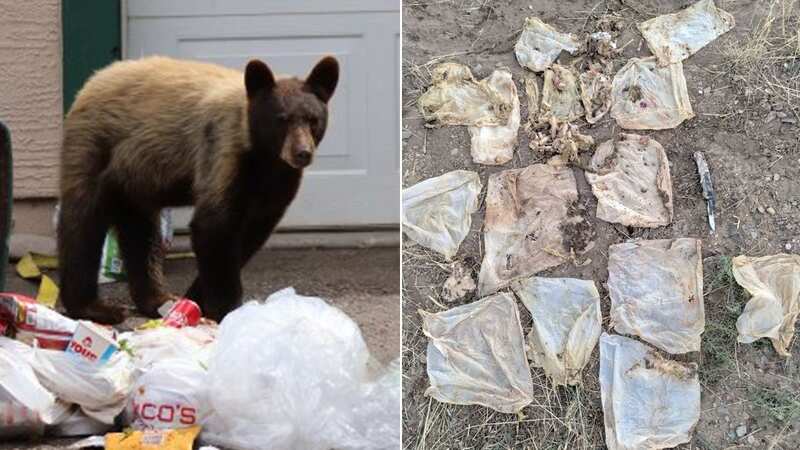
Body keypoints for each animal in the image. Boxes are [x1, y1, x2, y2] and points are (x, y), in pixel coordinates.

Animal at [58, 55, 339, 323]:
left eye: (313, 120)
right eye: (281, 119)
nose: (302, 153)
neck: (264, 157)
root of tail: (91, 82)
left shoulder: (277, 184)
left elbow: (251, 234)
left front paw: (194, 301)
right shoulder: (223, 153)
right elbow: (214, 226)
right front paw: (225, 310)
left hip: (135, 182)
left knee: (140, 233)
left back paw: (157, 299)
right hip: (96, 147)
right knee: (83, 223)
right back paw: (92, 307)